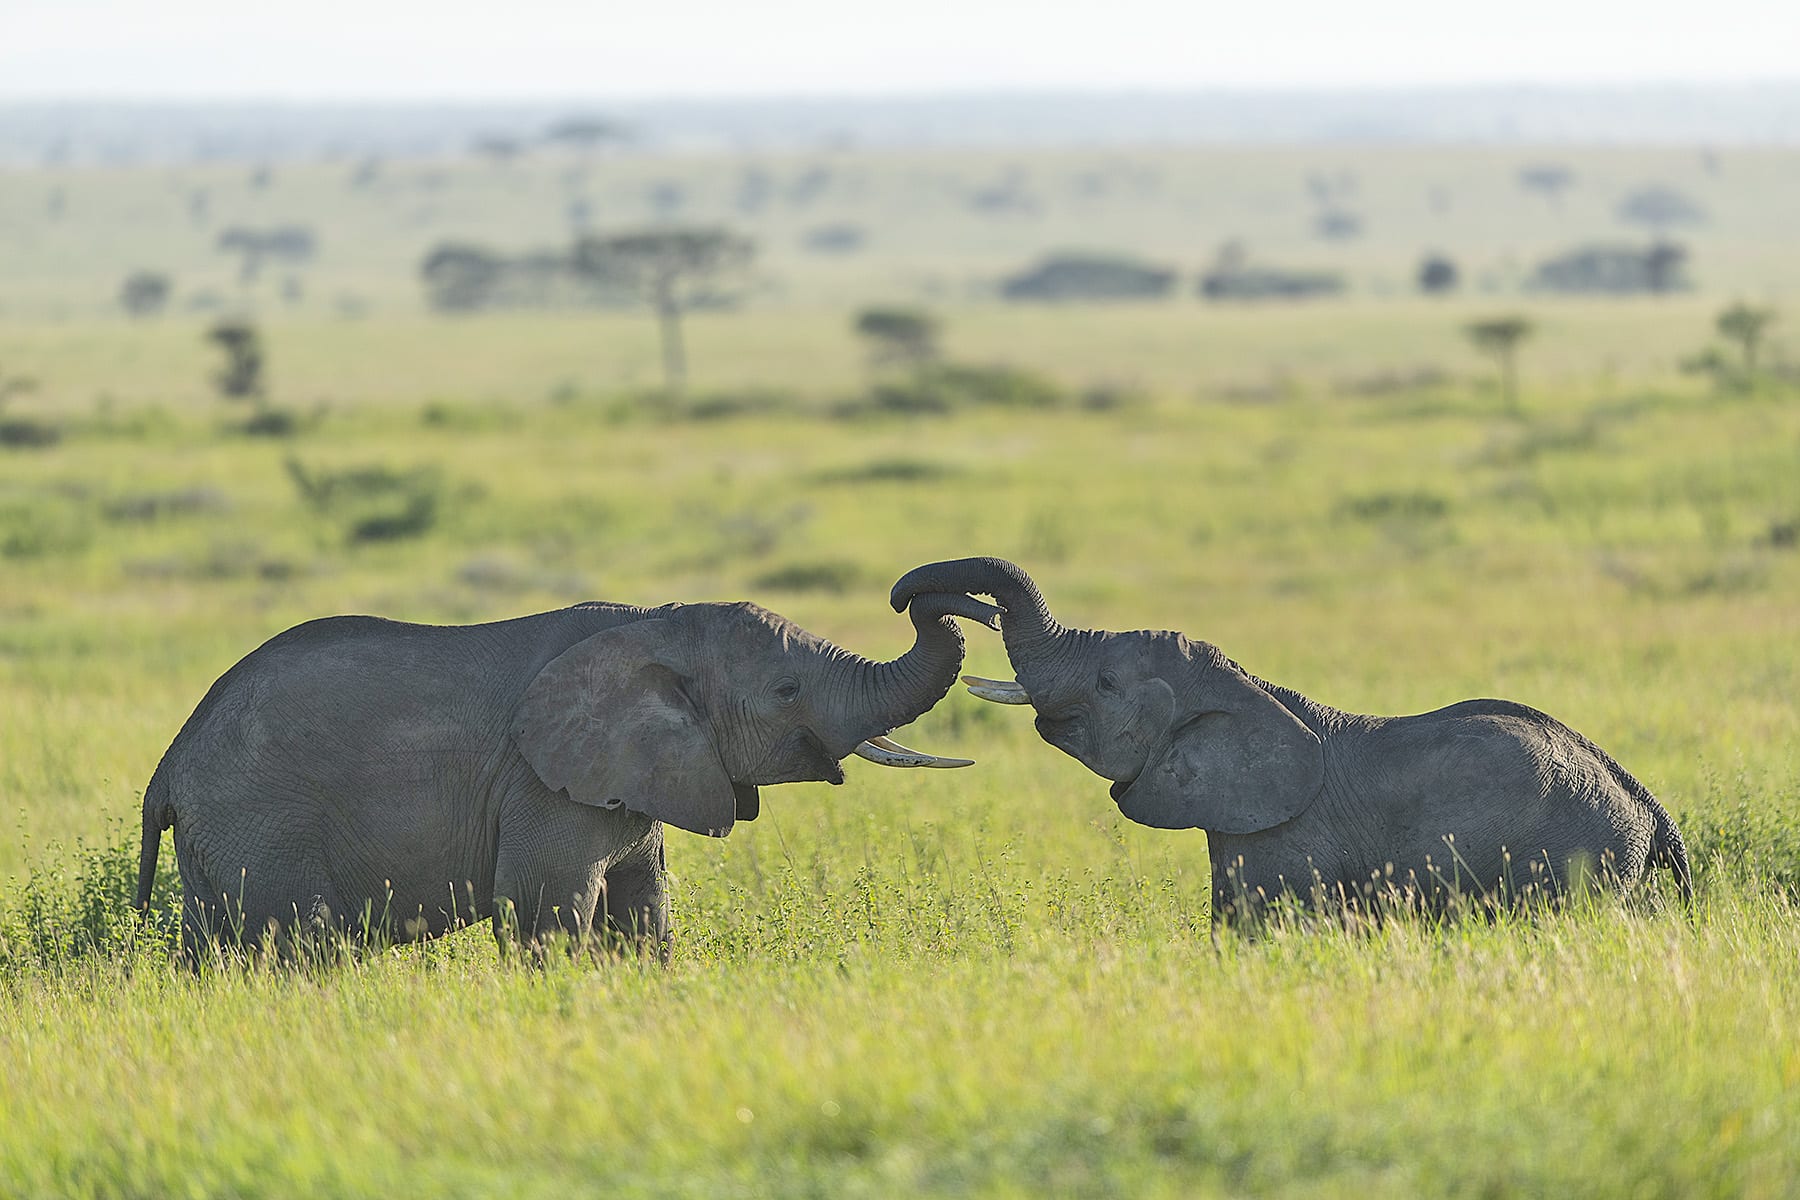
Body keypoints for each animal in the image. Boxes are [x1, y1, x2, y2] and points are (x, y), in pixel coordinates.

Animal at [140, 586, 1008, 964]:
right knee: (299, 943)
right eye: (787, 690)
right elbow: (542, 912)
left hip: (223, 836)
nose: (935, 595)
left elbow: (645, 908)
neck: (657, 622)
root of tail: (171, 762)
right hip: (263, 820)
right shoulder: (541, 783)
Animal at [892, 557, 1692, 913]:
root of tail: (1650, 806)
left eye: (1109, 684)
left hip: (1571, 856)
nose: (912, 601)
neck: (1250, 692)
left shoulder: (1288, 834)